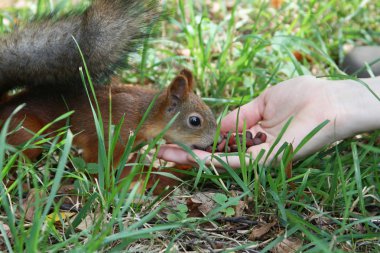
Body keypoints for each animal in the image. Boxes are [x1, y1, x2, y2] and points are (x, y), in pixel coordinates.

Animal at [0, 0, 217, 170]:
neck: (143, 114)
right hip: (27, 131)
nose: (214, 142)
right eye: (195, 121)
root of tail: (4, 106)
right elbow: (97, 162)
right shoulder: (109, 136)